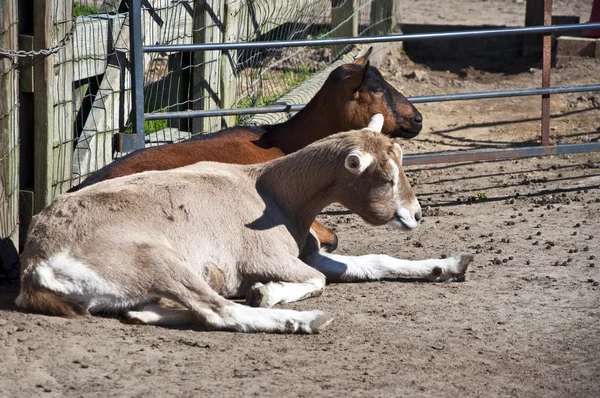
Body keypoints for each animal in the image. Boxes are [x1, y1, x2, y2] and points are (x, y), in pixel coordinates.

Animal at [16, 114, 474, 332]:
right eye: (384, 176)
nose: (416, 215)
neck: (273, 192)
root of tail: (35, 264)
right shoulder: (273, 259)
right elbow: (315, 281)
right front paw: (266, 293)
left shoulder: (308, 255)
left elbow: (374, 262)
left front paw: (451, 264)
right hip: (158, 261)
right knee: (217, 312)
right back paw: (306, 320)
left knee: (180, 309)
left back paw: (147, 314)